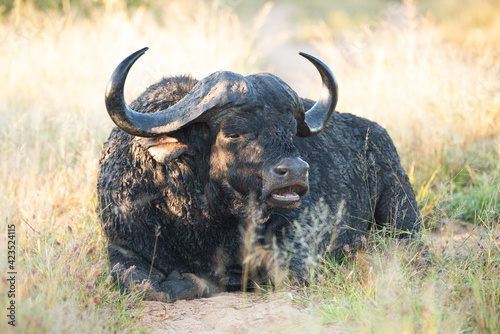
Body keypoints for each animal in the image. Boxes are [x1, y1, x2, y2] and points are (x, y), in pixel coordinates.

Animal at [96, 47, 418, 302]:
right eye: (234, 133)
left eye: (289, 129)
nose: (296, 172)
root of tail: (375, 133)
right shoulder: (123, 245)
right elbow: (143, 285)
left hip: (401, 212)